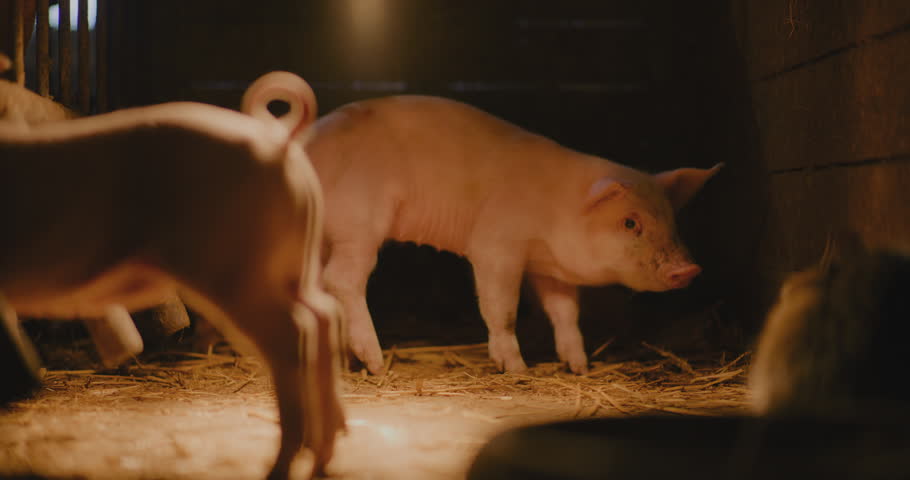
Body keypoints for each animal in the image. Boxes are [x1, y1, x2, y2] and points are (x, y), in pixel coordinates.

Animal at [0, 71, 345, 480]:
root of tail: (278, 142)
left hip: (235, 270)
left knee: (293, 333)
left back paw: (279, 466)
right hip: (293, 265)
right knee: (323, 313)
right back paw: (321, 456)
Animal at [242, 78, 720, 375]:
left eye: (672, 219)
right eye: (630, 222)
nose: (690, 269)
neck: (557, 211)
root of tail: (302, 144)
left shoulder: (549, 269)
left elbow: (565, 313)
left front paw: (579, 367)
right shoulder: (496, 245)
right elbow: (501, 307)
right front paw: (518, 368)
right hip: (360, 224)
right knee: (342, 279)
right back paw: (376, 364)